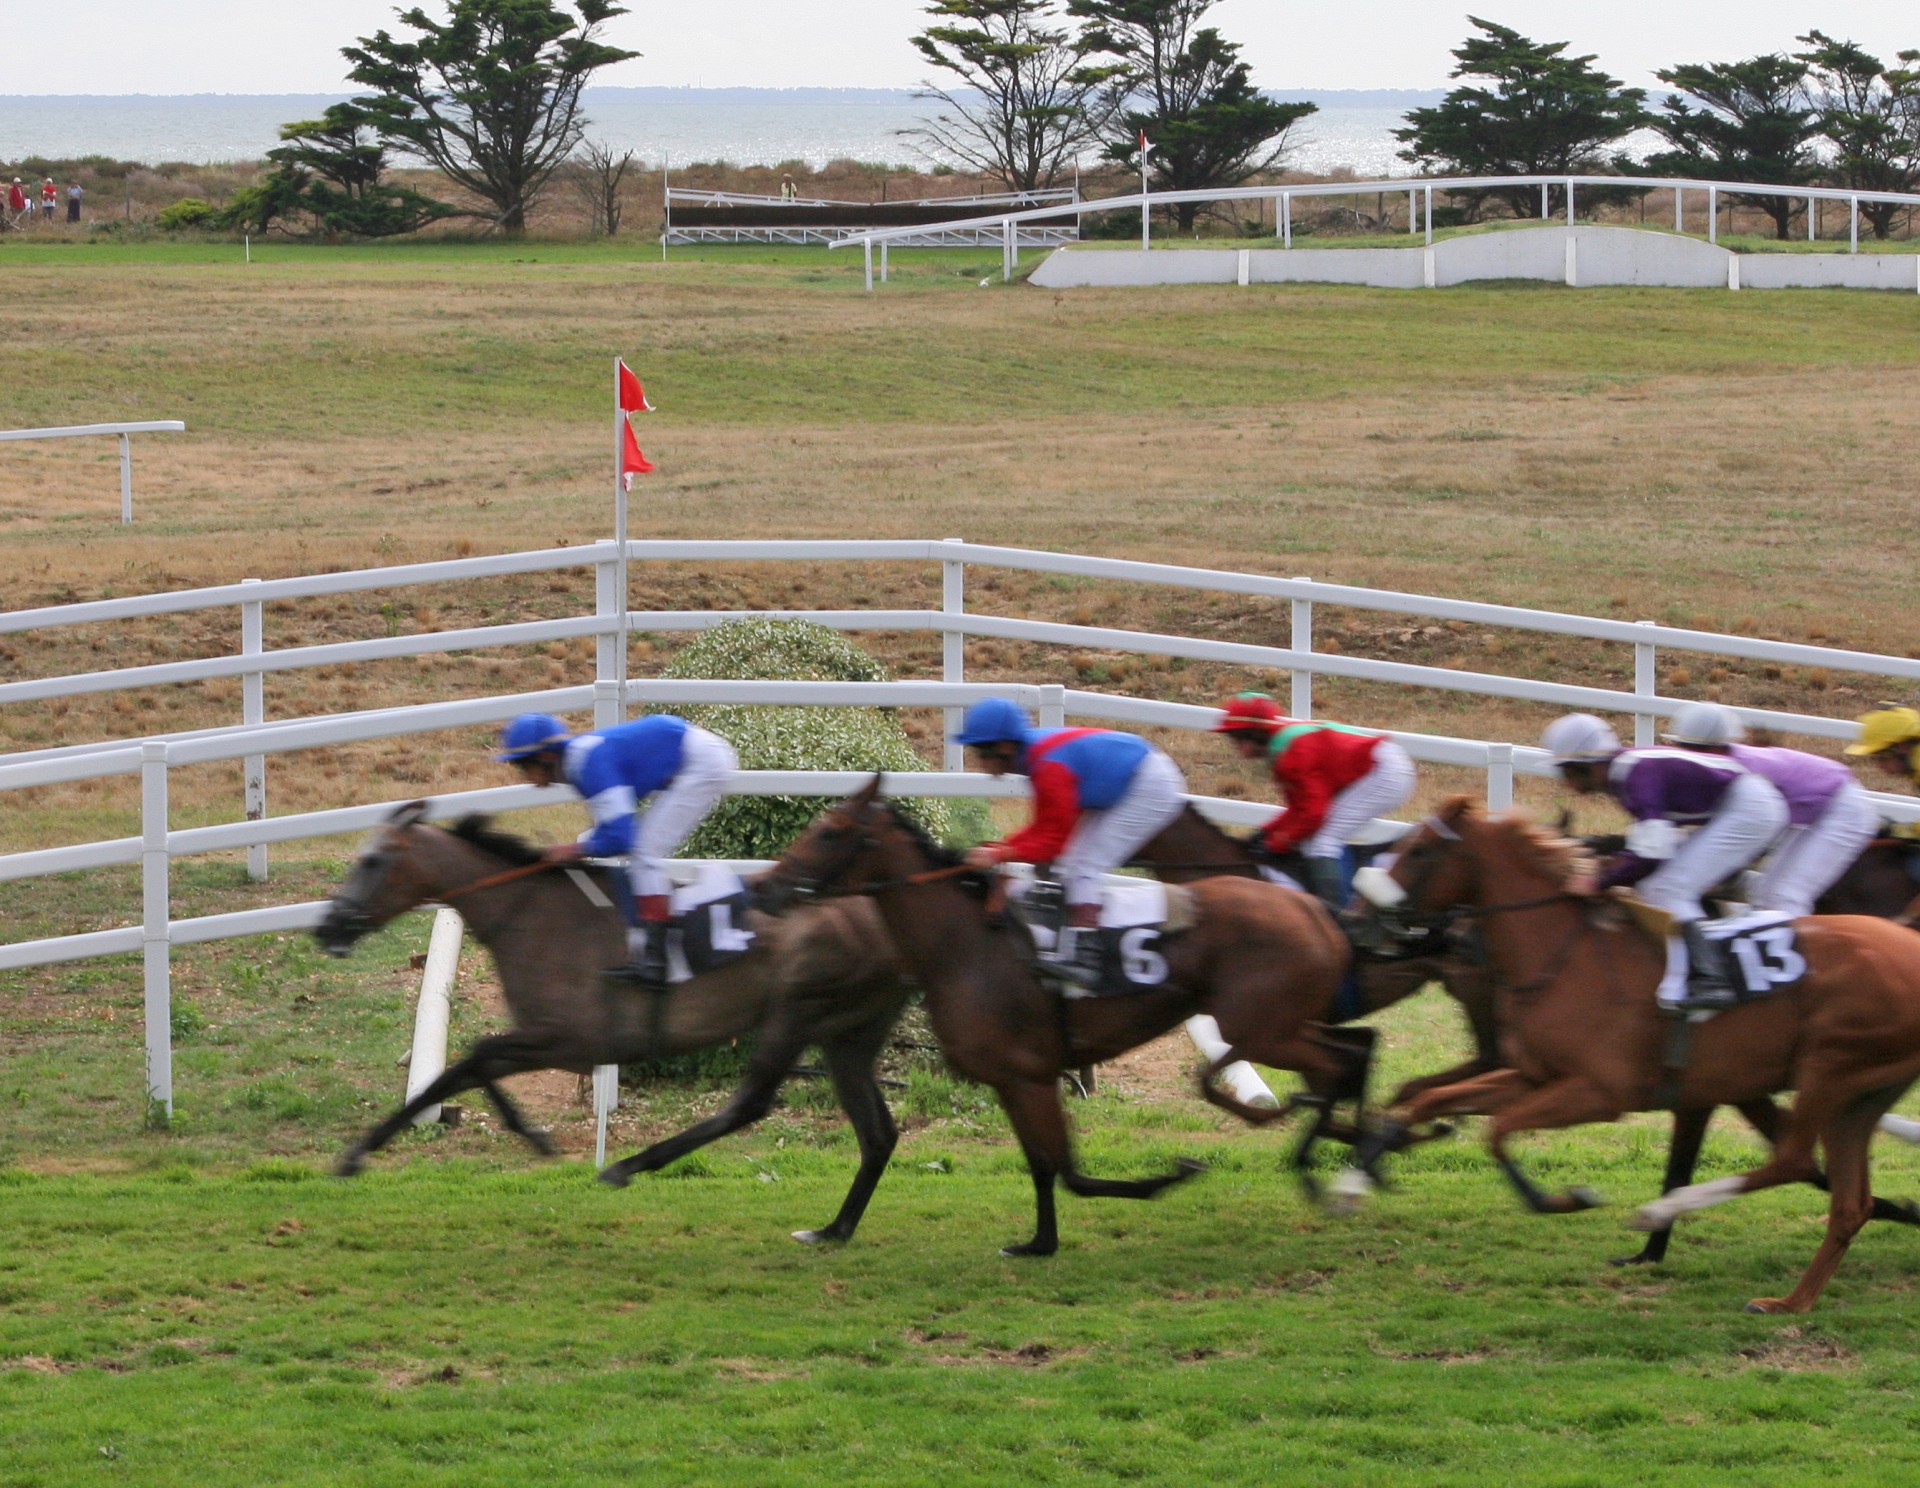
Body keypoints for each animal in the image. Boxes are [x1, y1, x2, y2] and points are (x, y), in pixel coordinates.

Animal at [311, 802, 910, 1244]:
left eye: (373, 860)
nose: (327, 927)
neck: (527, 915)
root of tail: (878, 913)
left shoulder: (566, 1041)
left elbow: (471, 1058)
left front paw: (531, 1135)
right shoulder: (549, 1040)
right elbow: (463, 1067)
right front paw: (362, 1152)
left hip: (798, 1012)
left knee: (752, 1104)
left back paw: (628, 1165)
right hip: (848, 1033)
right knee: (878, 1132)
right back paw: (835, 1229)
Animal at [752, 779, 1351, 1259]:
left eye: (830, 833)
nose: (763, 886)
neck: (967, 947)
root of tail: (1312, 910)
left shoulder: (1030, 1076)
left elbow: (1070, 1173)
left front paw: (1170, 1176)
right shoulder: (1014, 1079)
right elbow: (1046, 1168)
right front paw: (1039, 1242)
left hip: (1263, 1028)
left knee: (1334, 1065)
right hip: (1280, 1024)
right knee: (1344, 1058)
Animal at [1351, 802, 1920, 1313]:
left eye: (1420, 850)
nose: (1357, 921)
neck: (1565, 956)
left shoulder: (1602, 1093)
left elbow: (1497, 1129)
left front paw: (1569, 1200)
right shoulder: (1537, 1077)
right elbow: (1432, 1103)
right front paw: (1354, 1182)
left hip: (1828, 1068)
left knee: (1795, 1159)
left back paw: (1664, 1213)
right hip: (1858, 1094)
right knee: (1848, 1201)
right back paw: (1794, 1300)